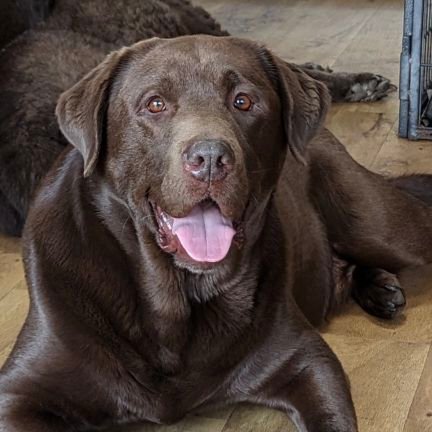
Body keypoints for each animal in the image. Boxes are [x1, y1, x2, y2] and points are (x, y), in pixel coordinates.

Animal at [1, 34, 430, 432]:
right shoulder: (18, 394)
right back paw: (380, 288)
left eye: (243, 101)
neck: (176, 298)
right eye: (155, 104)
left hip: (378, 227)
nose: (209, 158)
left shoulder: (308, 361)